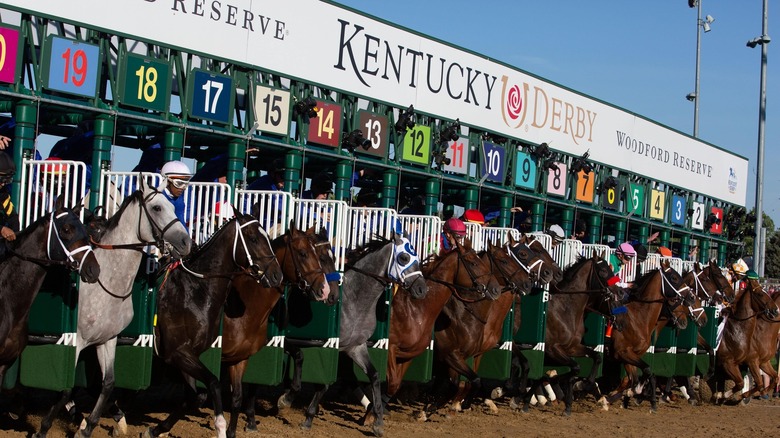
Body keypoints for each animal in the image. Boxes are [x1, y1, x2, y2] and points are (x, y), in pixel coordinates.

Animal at [34, 183, 193, 436]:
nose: (186, 242)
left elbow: (107, 383)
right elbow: (66, 388)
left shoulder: (107, 339)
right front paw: (46, 427)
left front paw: (89, 427)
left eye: (172, 205)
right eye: (157, 208)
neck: (107, 281)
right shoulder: (76, 341)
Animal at [142, 215, 284, 438]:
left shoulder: (189, 355)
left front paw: (157, 429)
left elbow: (195, 397)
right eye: (253, 238)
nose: (277, 275)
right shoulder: (177, 352)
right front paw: (220, 427)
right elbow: (214, 384)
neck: (195, 292)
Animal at [221, 226, 334, 438]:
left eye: (319, 255)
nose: (325, 291)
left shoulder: (269, 342)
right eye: (304, 253)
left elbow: (299, 355)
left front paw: (285, 399)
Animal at [278, 231, 426, 436]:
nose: (422, 289)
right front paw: (306, 416)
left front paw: (377, 422)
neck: (355, 302)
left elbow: (374, 376)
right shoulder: (331, 347)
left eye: (417, 258)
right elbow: (325, 381)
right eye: (403, 258)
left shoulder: (355, 347)